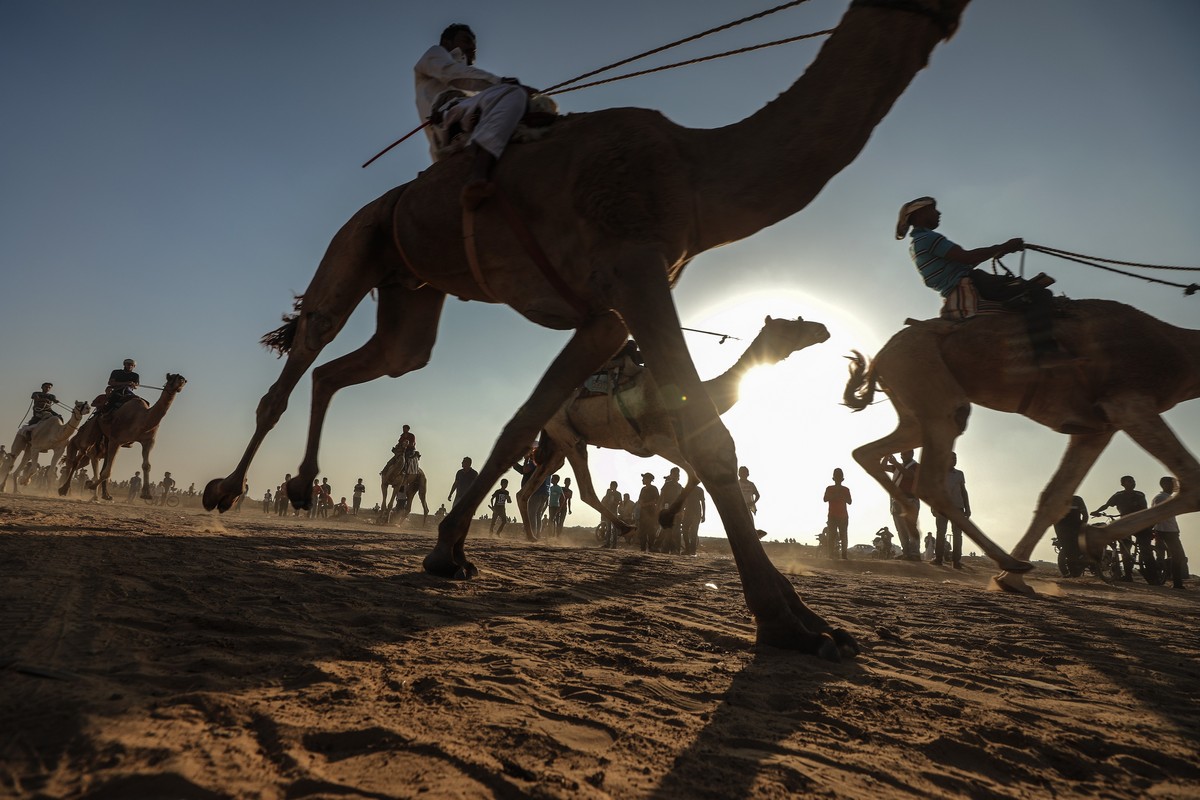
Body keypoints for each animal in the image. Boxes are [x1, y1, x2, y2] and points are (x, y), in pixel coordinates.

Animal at [516, 316, 835, 542]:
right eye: (790, 325)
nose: (822, 329)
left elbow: (698, 474)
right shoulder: (657, 441)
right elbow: (694, 474)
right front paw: (666, 518)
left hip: (557, 445)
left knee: (528, 489)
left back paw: (532, 536)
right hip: (569, 436)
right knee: (585, 490)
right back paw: (625, 528)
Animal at [844, 299, 1200, 594]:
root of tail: (880, 356)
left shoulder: (1096, 427)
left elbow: (1054, 498)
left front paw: (1014, 580)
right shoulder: (1128, 400)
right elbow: (1192, 481)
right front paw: (1092, 540)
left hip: (914, 407)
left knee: (867, 451)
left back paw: (910, 508)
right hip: (931, 391)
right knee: (931, 479)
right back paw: (1004, 559)